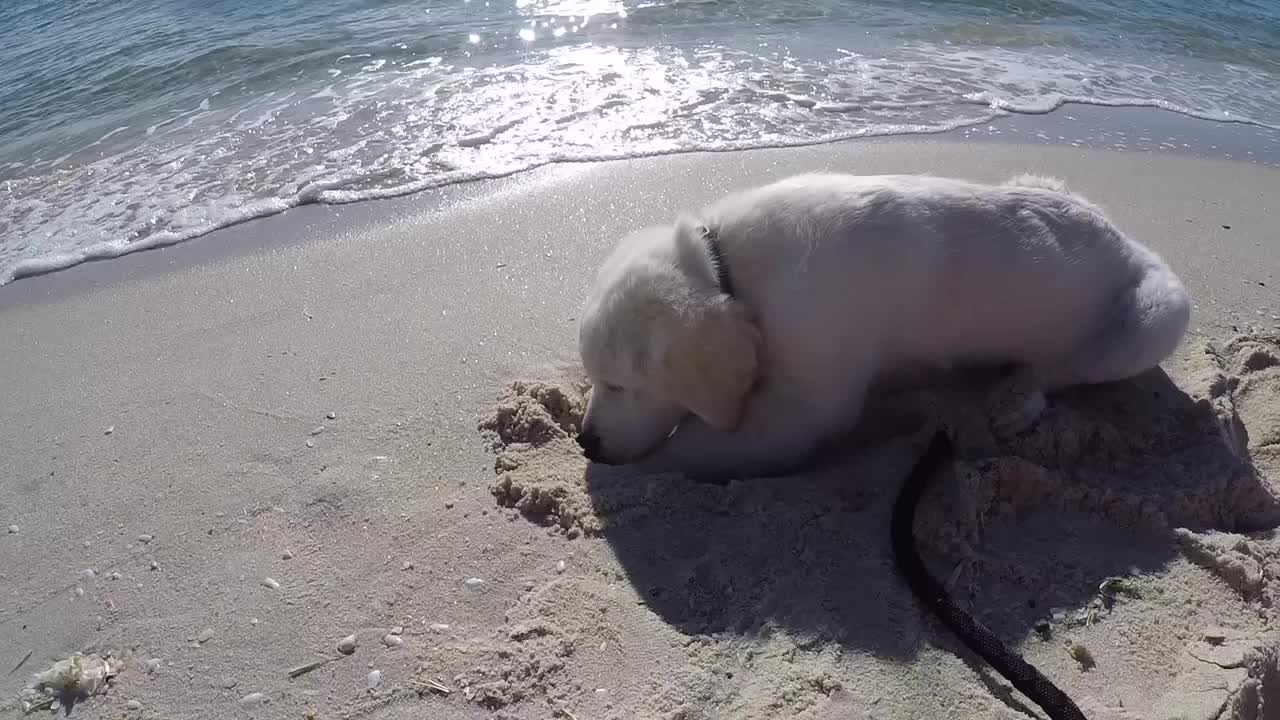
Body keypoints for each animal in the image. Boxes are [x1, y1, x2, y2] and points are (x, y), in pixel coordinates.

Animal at [576, 172, 1192, 476]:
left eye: (618, 385)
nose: (584, 443)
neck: (728, 266)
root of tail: (1125, 240)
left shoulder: (807, 408)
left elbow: (685, 451)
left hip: (1162, 313)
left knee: (1060, 370)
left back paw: (1016, 398)